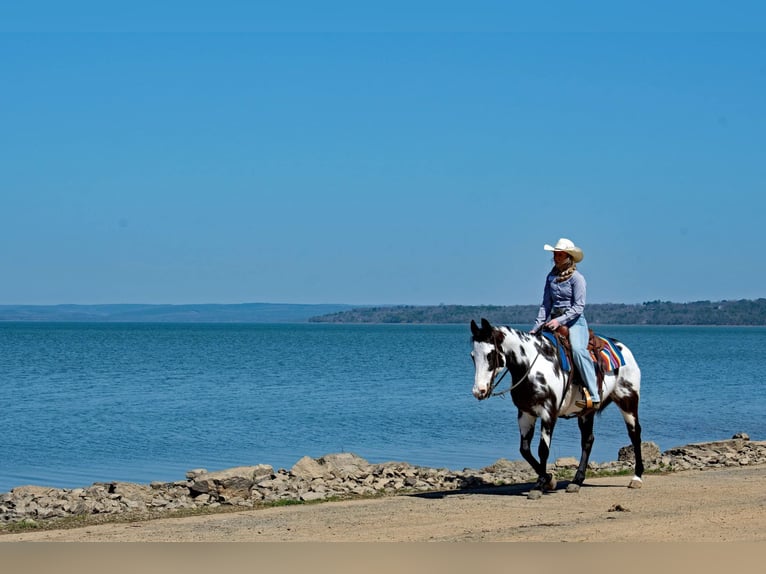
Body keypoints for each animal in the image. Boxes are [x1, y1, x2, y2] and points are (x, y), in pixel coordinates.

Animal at [470, 318, 644, 493]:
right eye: (472, 356)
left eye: (490, 355)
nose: (479, 391)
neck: (533, 367)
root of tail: (623, 349)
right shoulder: (525, 413)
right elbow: (525, 450)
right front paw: (548, 480)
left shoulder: (549, 413)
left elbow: (543, 450)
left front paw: (542, 484)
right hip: (586, 412)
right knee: (587, 440)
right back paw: (577, 480)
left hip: (627, 400)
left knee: (634, 434)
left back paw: (637, 478)